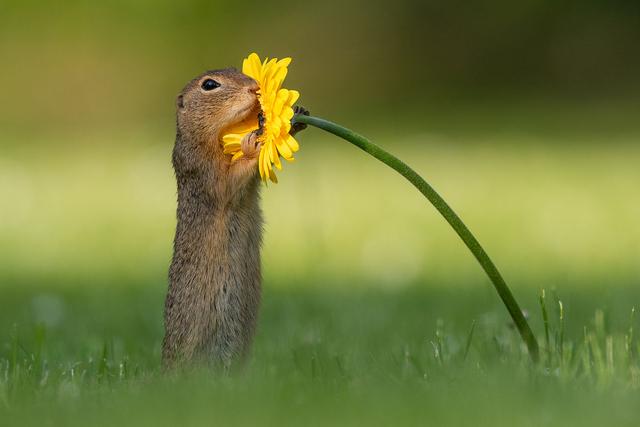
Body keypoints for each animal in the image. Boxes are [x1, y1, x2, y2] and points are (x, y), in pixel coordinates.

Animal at [164, 67, 306, 368]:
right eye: (209, 85)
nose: (255, 87)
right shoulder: (203, 168)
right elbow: (229, 180)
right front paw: (254, 140)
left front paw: (295, 118)